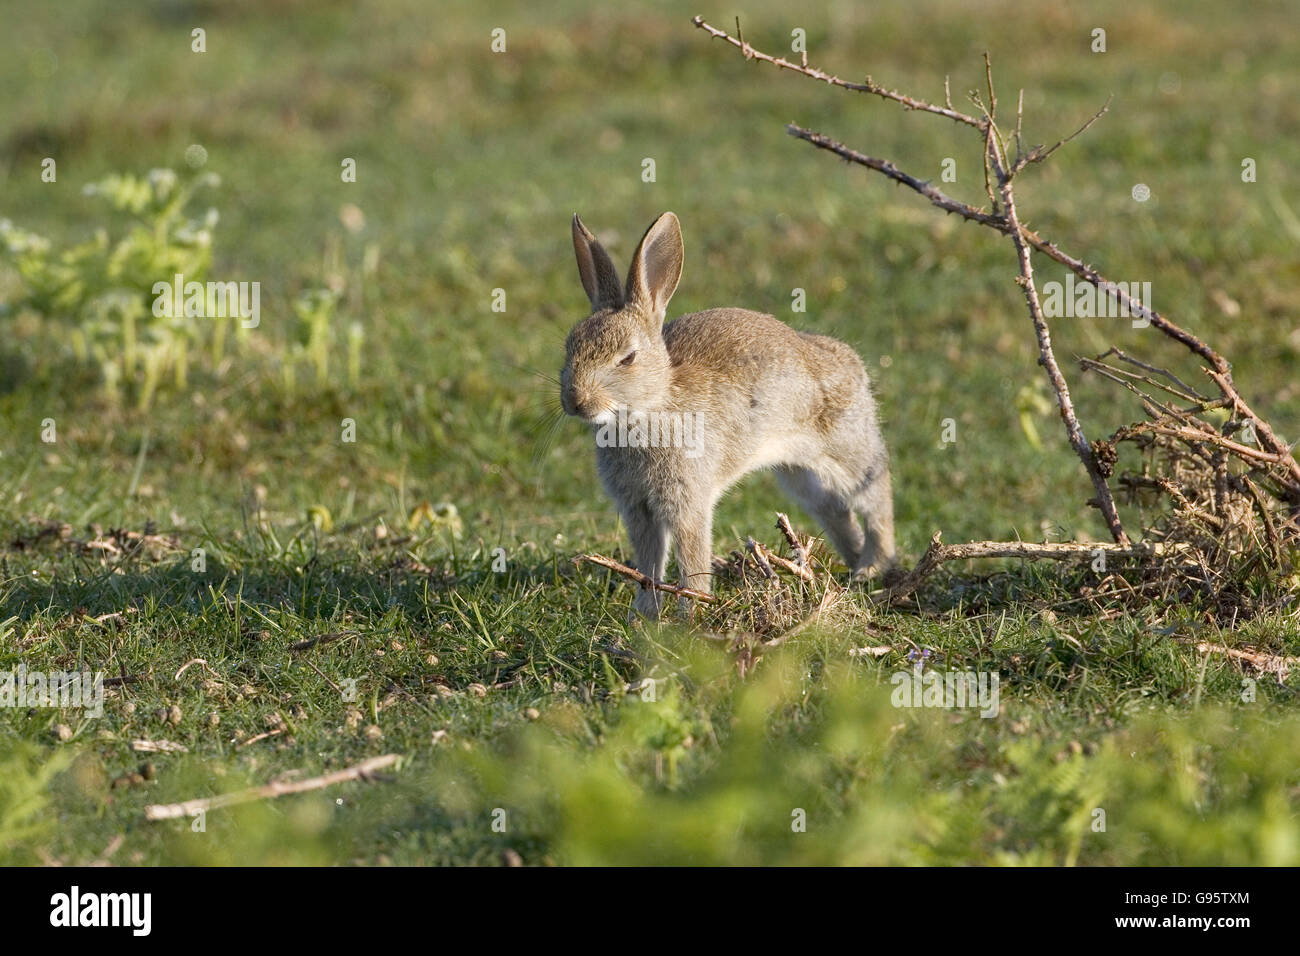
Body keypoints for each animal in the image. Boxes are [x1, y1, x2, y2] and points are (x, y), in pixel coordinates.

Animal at [562, 211, 895, 619]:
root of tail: (851, 362)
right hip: (798, 473)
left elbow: (691, 557)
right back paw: (852, 563)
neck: (653, 405)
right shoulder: (637, 507)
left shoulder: (688, 500)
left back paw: (873, 566)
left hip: (845, 448)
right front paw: (644, 615)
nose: (575, 400)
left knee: (875, 490)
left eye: (627, 358)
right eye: (570, 345)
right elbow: (649, 562)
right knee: (832, 508)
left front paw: (689, 614)